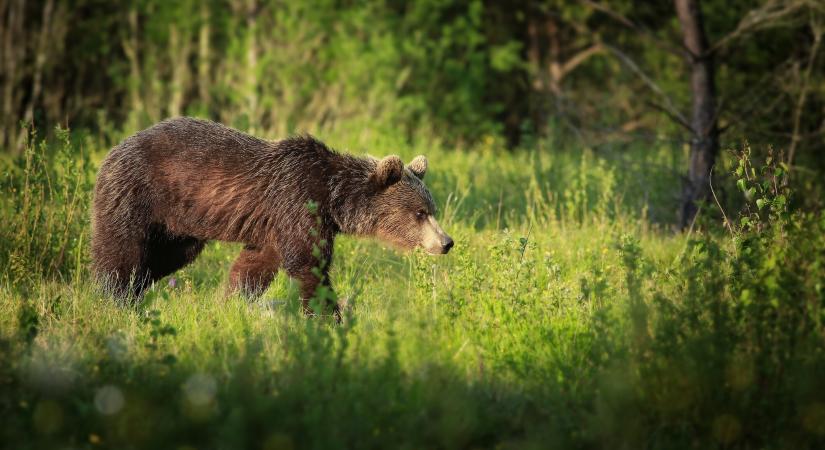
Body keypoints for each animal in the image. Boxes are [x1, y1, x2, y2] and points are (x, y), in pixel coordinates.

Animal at [92, 116, 454, 312]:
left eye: (432, 210)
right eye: (420, 213)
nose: (446, 242)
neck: (333, 198)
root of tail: (113, 149)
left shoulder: (275, 225)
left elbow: (254, 266)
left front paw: (229, 302)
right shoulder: (297, 202)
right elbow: (308, 264)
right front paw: (329, 319)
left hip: (177, 226)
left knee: (165, 257)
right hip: (138, 193)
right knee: (121, 251)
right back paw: (114, 297)